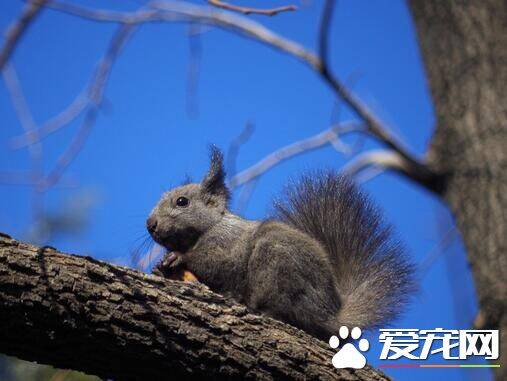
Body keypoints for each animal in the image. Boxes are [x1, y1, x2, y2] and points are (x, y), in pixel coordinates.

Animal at [147, 147, 416, 340]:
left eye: (182, 201)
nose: (150, 224)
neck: (209, 228)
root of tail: (330, 315)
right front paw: (160, 268)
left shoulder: (228, 242)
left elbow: (219, 263)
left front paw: (179, 257)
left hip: (277, 263)